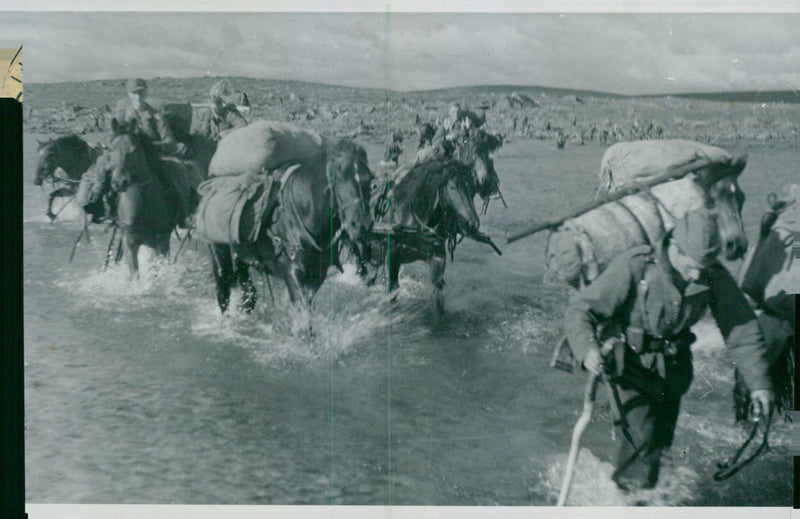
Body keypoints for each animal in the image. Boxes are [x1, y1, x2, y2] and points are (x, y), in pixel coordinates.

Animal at [107, 120, 205, 278]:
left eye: (134, 150)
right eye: (110, 150)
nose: (119, 182)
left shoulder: (161, 241)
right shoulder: (129, 241)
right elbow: (134, 273)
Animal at [208, 139, 374, 316]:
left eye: (370, 178)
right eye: (337, 178)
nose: (362, 225)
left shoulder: (317, 273)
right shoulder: (293, 272)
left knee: (247, 290)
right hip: (219, 252)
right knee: (223, 287)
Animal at [362, 158, 482, 314]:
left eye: (473, 187)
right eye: (452, 187)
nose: (473, 224)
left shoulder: (438, 258)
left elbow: (438, 297)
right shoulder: (392, 258)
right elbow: (393, 293)